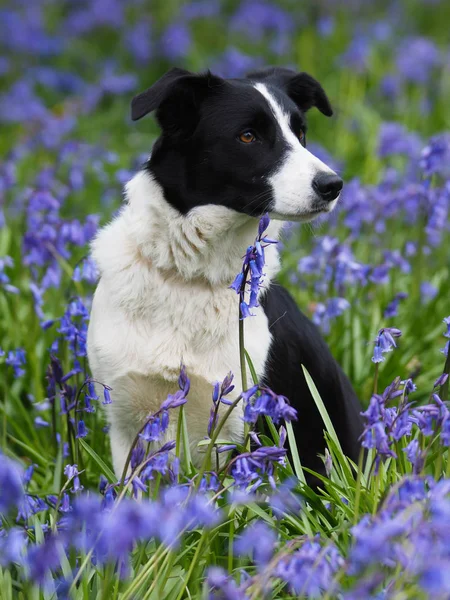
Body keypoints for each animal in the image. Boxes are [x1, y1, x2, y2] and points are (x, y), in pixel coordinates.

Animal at [87, 65, 362, 480]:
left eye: (300, 133)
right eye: (248, 136)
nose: (333, 185)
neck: (190, 276)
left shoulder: (248, 423)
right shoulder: (126, 423)